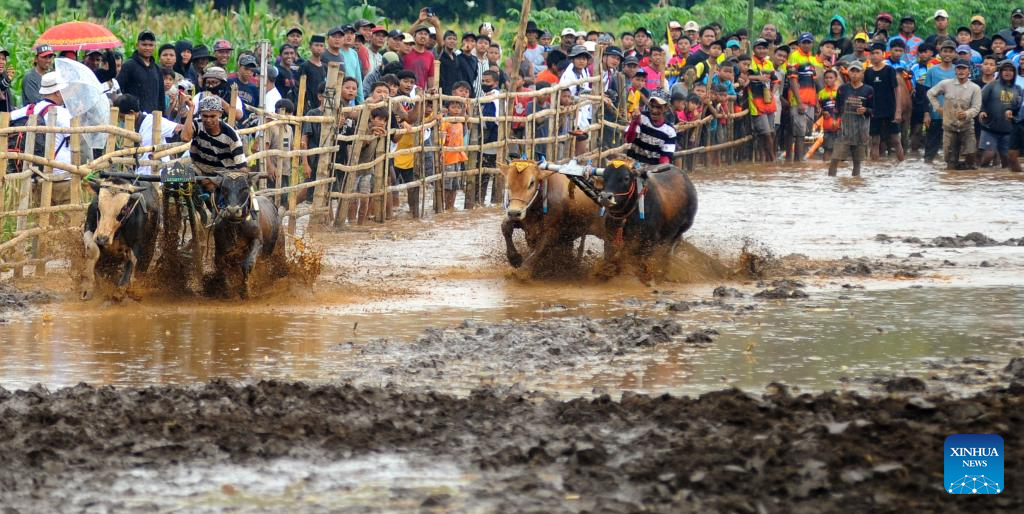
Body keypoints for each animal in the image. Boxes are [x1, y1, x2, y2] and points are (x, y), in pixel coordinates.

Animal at [202, 171, 281, 299]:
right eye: (224, 189)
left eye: (244, 189)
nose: (233, 210)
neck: (236, 225)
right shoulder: (220, 248)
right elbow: (222, 268)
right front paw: (228, 291)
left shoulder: (257, 241)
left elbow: (247, 264)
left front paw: (245, 290)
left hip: (269, 250)